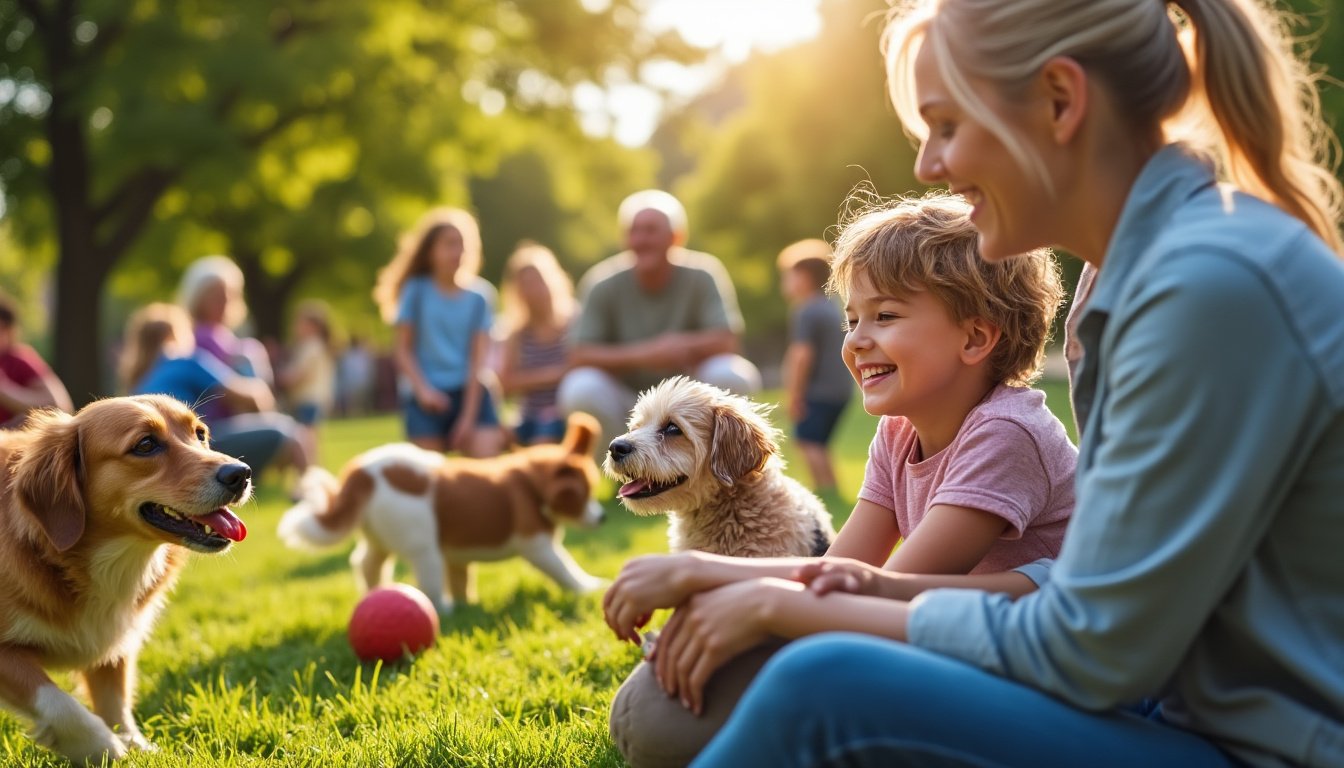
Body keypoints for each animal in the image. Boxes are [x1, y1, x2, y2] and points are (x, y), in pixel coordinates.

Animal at [0, 395, 251, 763]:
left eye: (200, 433)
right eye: (145, 445)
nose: (241, 474)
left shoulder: (114, 640)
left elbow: (115, 702)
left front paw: (138, 747)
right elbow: (57, 700)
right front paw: (101, 745)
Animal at [280, 411, 607, 616]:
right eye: (584, 492)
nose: (601, 518)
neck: (529, 485)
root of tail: (362, 472)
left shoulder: (458, 558)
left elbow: (461, 579)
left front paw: (468, 606)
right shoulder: (537, 546)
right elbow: (564, 569)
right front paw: (588, 587)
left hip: (378, 538)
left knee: (366, 562)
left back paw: (375, 593)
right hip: (422, 545)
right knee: (428, 578)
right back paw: (443, 610)